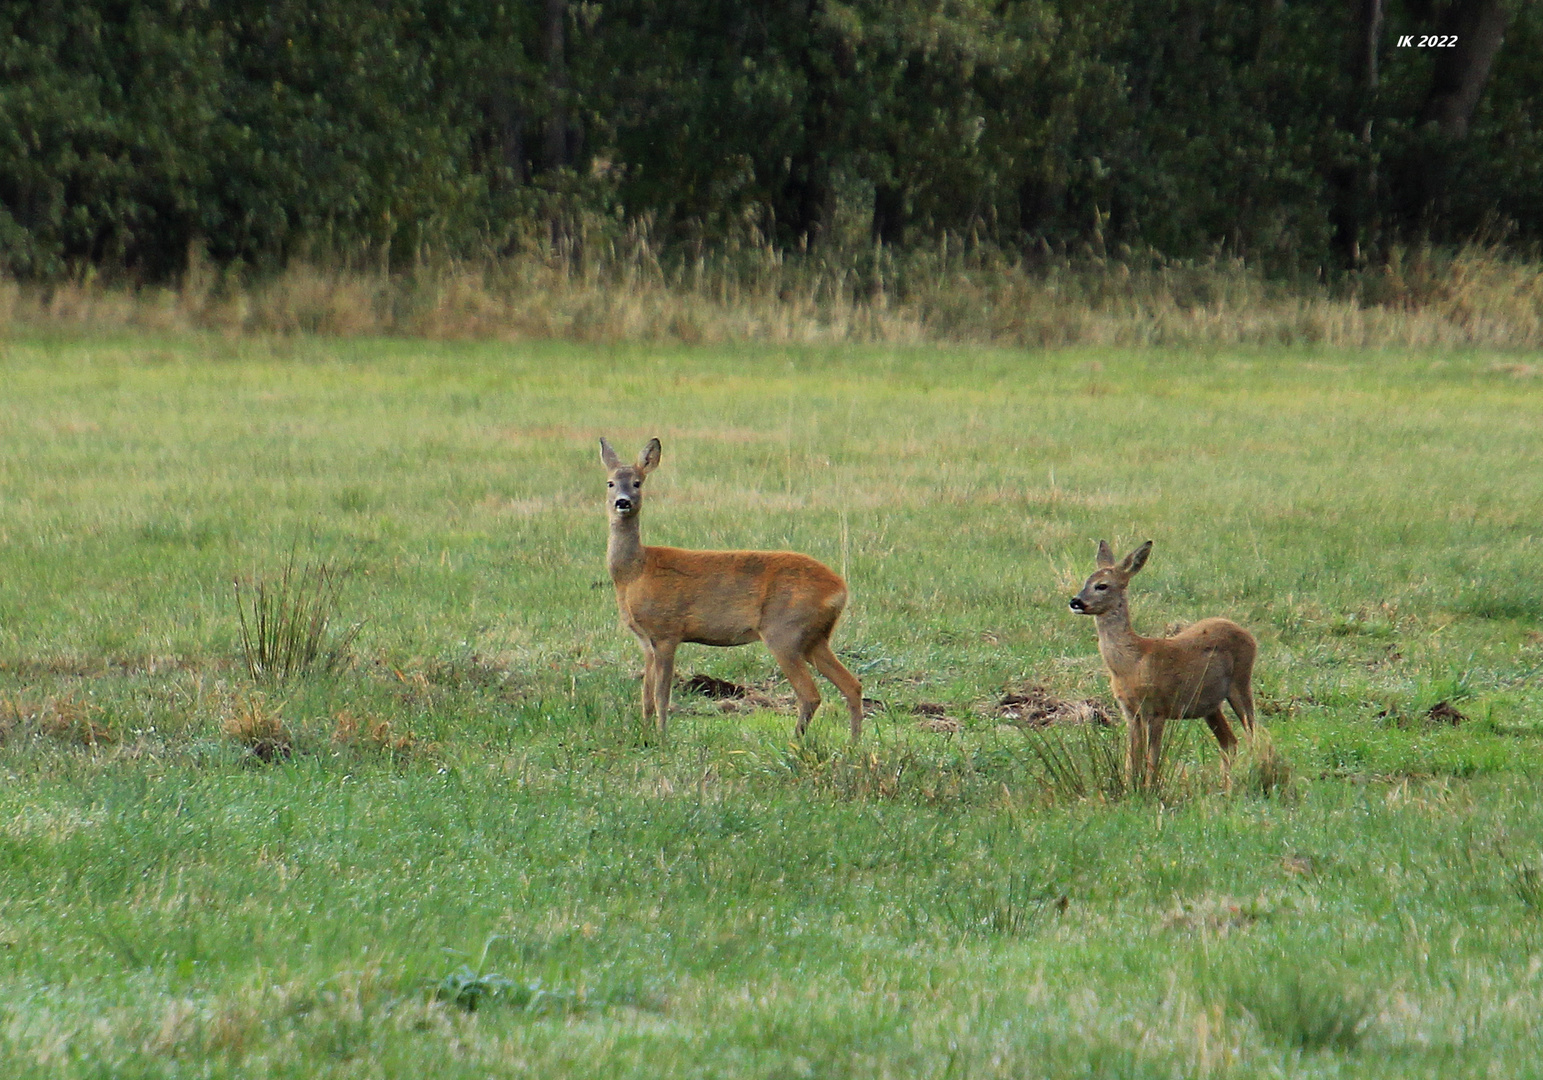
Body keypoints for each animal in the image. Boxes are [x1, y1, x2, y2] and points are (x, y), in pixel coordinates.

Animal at [592, 435, 864, 737]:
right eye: (610, 482)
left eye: (637, 482)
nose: (623, 502)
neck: (635, 572)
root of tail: (840, 589)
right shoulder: (645, 640)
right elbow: (646, 696)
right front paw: (646, 733)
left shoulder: (667, 632)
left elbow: (661, 695)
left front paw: (662, 736)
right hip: (815, 638)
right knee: (852, 685)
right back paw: (852, 743)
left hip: (785, 630)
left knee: (810, 694)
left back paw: (797, 742)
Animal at [1073, 536, 1252, 783]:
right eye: (1086, 581)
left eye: (1102, 586)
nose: (1075, 602)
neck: (1131, 663)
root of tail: (1249, 635)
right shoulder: (1130, 713)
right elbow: (1131, 762)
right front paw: (1130, 787)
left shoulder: (1156, 709)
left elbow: (1152, 761)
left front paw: (1150, 788)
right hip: (1210, 705)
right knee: (1230, 742)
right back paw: (1227, 785)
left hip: (1241, 682)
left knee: (1254, 734)